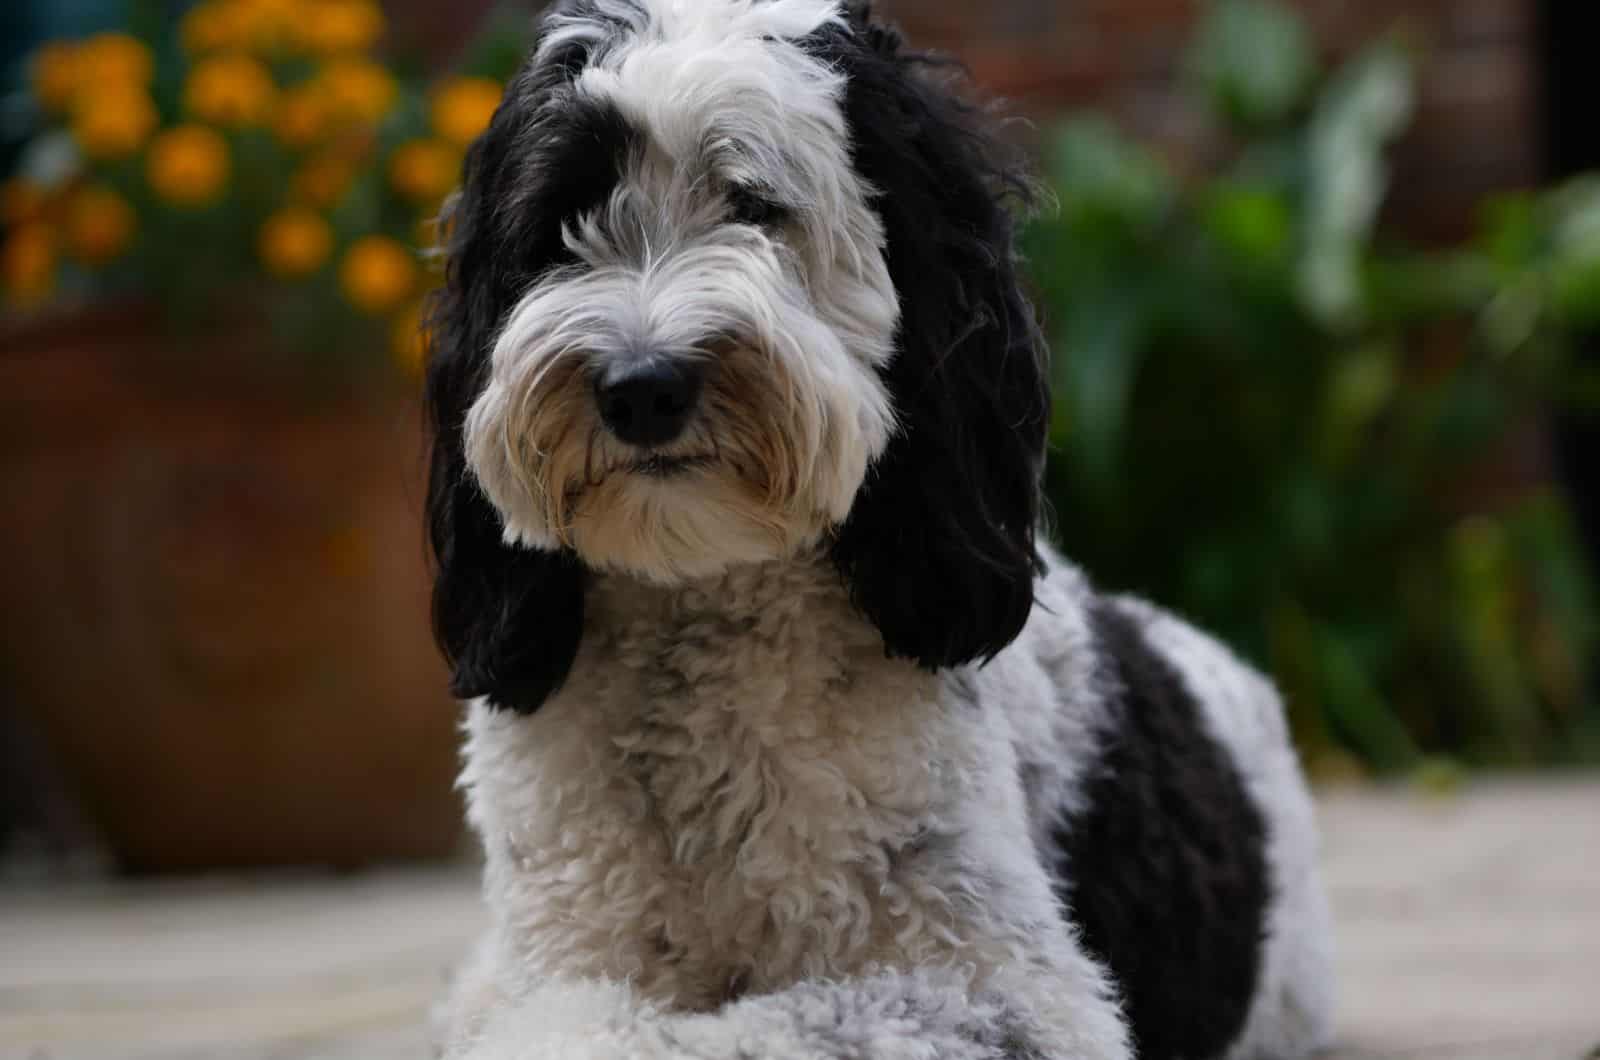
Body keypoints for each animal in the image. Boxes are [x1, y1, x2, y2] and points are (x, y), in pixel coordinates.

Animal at [425, 4, 1337, 1056]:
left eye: (755, 205)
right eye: (560, 220)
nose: (641, 385)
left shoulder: (1011, 991)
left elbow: (742, 1029)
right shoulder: (549, 954)